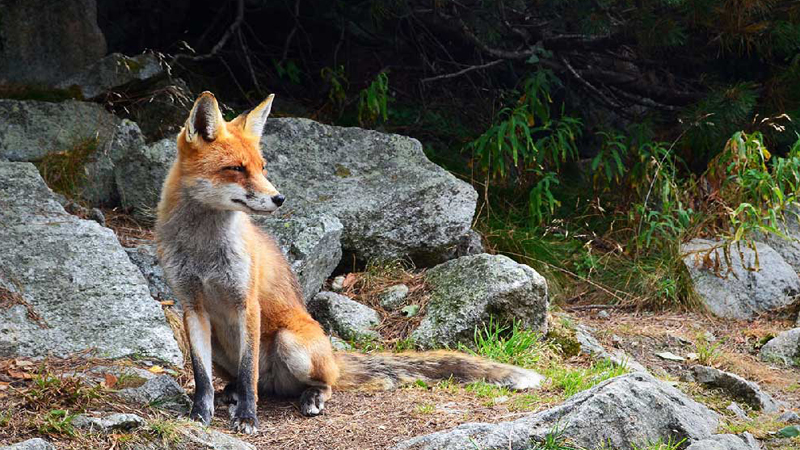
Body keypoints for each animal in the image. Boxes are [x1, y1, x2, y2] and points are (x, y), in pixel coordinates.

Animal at [155, 91, 545, 434]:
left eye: (263, 168)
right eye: (236, 168)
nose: (279, 198)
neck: (203, 251)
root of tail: (331, 355)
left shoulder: (246, 303)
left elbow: (248, 369)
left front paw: (248, 419)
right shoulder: (192, 307)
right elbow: (201, 377)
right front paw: (199, 414)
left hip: (291, 343)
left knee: (309, 383)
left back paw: (308, 397)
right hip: (222, 348)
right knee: (245, 381)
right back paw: (232, 394)